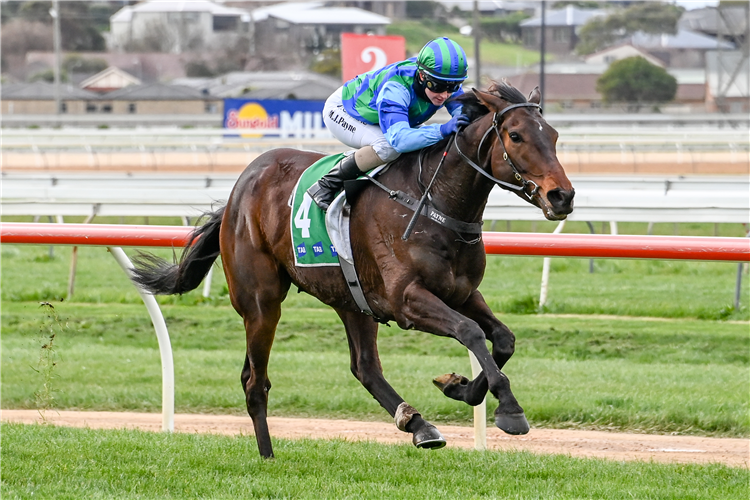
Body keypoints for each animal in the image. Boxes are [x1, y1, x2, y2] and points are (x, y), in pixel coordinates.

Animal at [132, 81, 580, 458]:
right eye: (516, 136)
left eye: (554, 135)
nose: (562, 196)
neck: (434, 201)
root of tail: (239, 189)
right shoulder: (407, 300)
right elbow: (470, 332)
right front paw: (509, 409)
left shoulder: (462, 293)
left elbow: (502, 339)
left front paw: (458, 386)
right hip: (261, 302)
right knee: (255, 381)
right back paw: (267, 455)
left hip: (353, 298)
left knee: (364, 367)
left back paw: (417, 424)